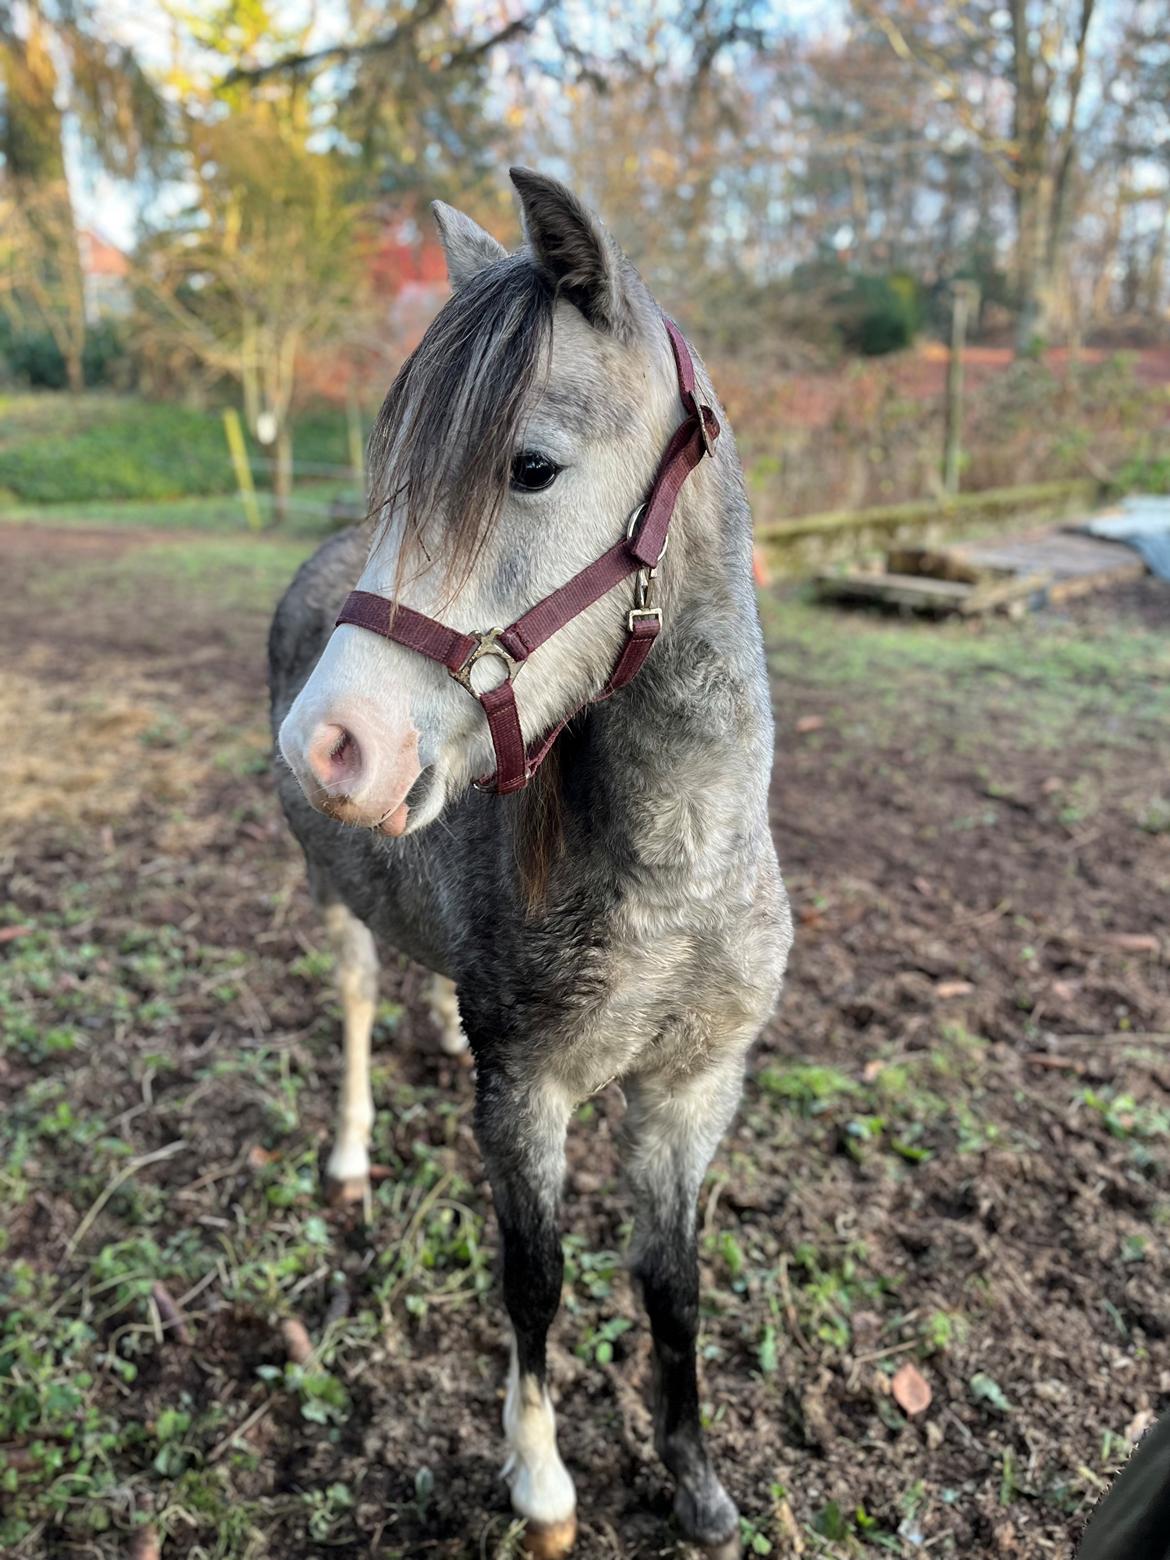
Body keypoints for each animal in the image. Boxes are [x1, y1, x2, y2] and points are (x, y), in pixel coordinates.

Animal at [268, 167, 792, 1558]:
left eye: (532, 468)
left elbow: (673, 1290)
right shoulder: (530, 1094)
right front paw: (541, 1481)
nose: (330, 744)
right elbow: (536, 1280)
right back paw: (349, 1156)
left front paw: (699, 1489)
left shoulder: (690, 1093)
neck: (677, 869)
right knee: (355, 998)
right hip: (335, 893)